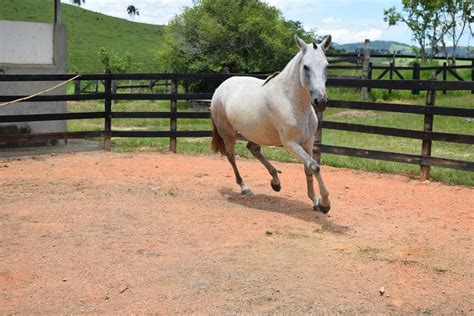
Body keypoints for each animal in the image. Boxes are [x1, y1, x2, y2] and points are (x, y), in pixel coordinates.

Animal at [209, 34, 332, 212]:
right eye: (306, 67)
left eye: (326, 66)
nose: (320, 101)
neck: (291, 100)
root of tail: (220, 87)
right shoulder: (290, 143)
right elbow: (314, 166)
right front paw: (325, 204)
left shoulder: (308, 142)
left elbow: (309, 168)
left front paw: (315, 201)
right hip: (228, 133)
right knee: (231, 156)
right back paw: (245, 187)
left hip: (256, 133)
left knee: (253, 149)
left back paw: (275, 182)